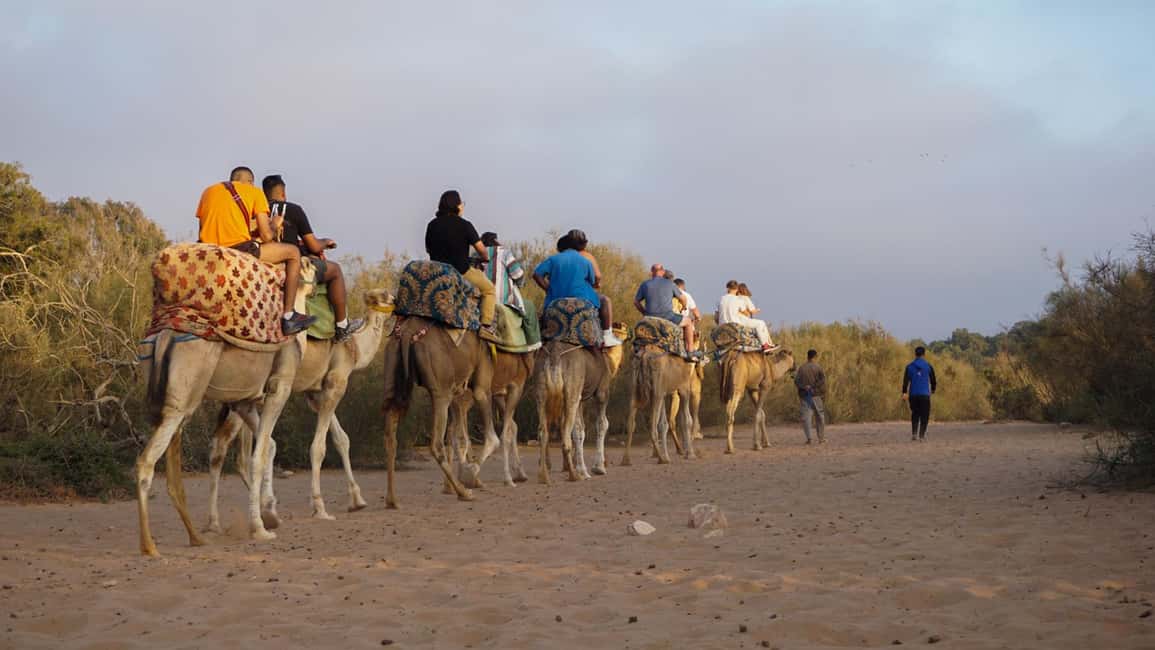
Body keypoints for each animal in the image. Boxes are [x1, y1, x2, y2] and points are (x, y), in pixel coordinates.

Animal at [203, 289, 395, 532]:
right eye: (386, 296)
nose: (395, 302)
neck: (355, 348)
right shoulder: (337, 381)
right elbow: (318, 447)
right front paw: (320, 508)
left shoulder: (315, 392)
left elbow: (341, 439)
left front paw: (357, 500)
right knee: (225, 446)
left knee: (230, 450)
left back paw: (219, 521)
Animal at [382, 317, 499, 508]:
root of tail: (407, 333)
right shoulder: (481, 382)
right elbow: (490, 437)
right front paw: (471, 476)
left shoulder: (459, 392)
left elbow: (457, 434)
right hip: (441, 391)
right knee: (436, 443)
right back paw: (464, 493)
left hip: (394, 375)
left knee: (391, 438)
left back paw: (392, 501)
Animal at [534, 324, 629, 483]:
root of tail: (554, 355)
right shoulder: (602, 391)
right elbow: (602, 424)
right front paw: (598, 468)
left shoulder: (581, 399)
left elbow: (579, 429)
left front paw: (583, 469)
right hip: (572, 389)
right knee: (565, 433)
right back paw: (573, 475)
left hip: (542, 391)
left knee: (543, 431)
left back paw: (544, 474)